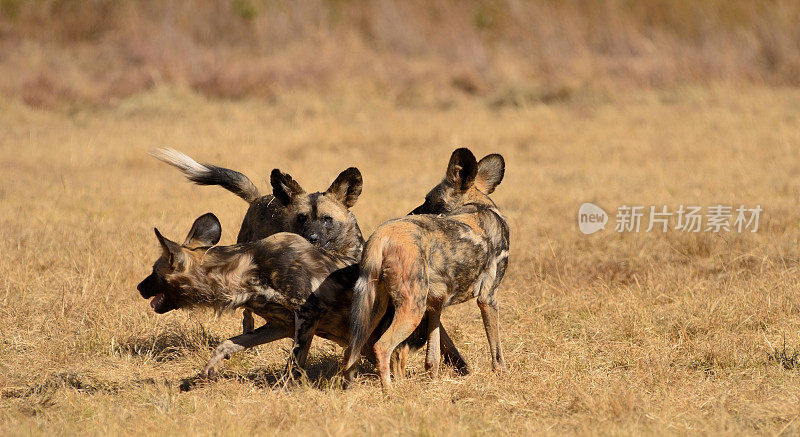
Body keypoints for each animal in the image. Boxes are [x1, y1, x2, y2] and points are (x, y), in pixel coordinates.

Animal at [139, 211, 468, 378]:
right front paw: (202, 375)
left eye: (155, 273)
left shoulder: (307, 317)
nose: (140, 288)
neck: (246, 268)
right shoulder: (280, 324)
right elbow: (227, 344)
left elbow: (294, 365)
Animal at [342, 147, 506, 388]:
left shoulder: (435, 306)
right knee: (382, 347)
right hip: (412, 308)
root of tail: (382, 234)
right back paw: (390, 391)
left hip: (375, 307)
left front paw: (433, 381)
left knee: (352, 349)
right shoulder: (488, 298)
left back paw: (347, 387)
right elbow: (496, 351)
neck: (477, 205)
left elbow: (433, 356)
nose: (411, 212)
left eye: (428, 199)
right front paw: (501, 376)